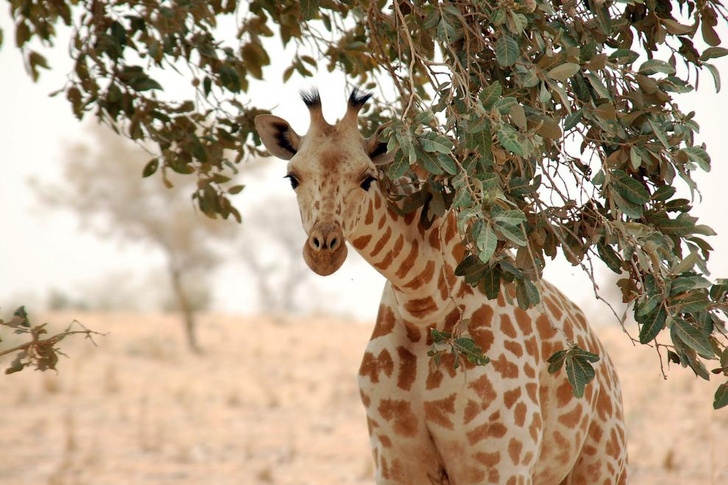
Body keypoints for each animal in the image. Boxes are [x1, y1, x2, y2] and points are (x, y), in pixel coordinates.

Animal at [255, 89, 624, 482]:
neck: (424, 305)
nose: (324, 250)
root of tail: (606, 365)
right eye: (293, 177)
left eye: (367, 178)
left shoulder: (503, 462)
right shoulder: (394, 459)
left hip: (603, 465)